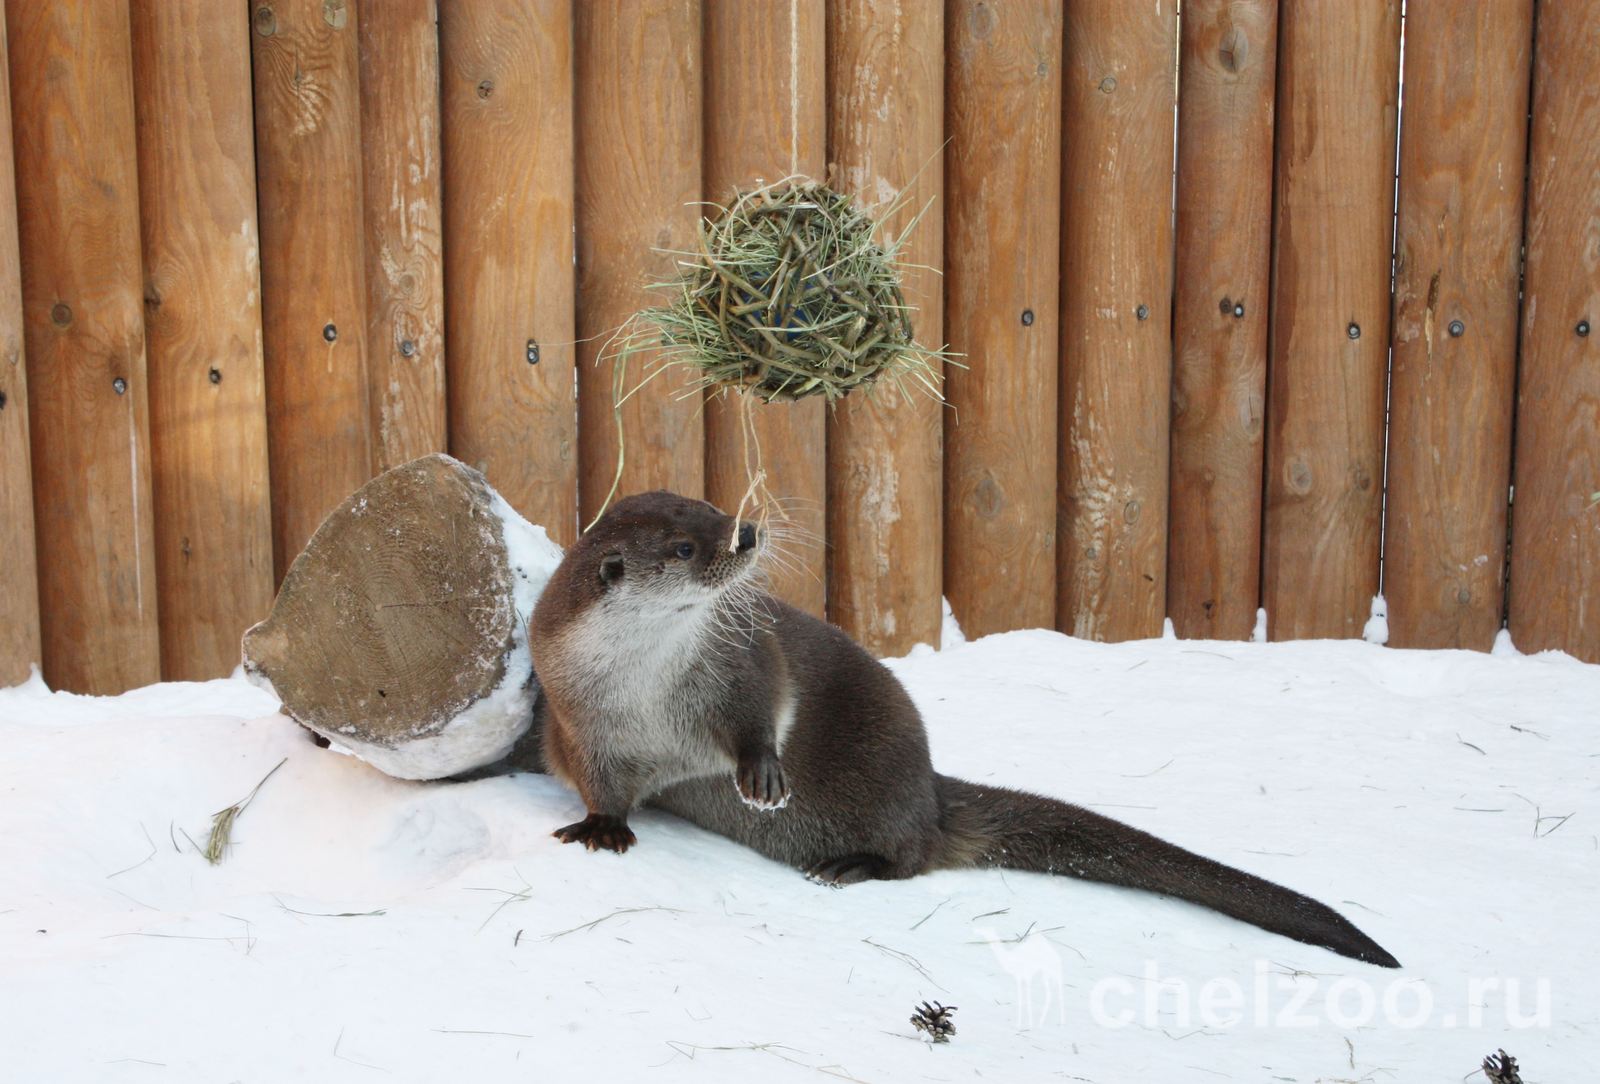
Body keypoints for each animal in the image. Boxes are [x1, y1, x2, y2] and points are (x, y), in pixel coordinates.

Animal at [524, 492, 1401, 965]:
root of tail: (930, 792)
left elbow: (768, 703)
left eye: (715, 508)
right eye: (684, 545)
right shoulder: (574, 713)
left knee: (911, 859)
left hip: (881, 776)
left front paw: (763, 772)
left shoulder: (741, 656)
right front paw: (601, 827)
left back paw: (848, 866)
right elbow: (595, 778)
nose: (748, 533)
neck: (646, 687)